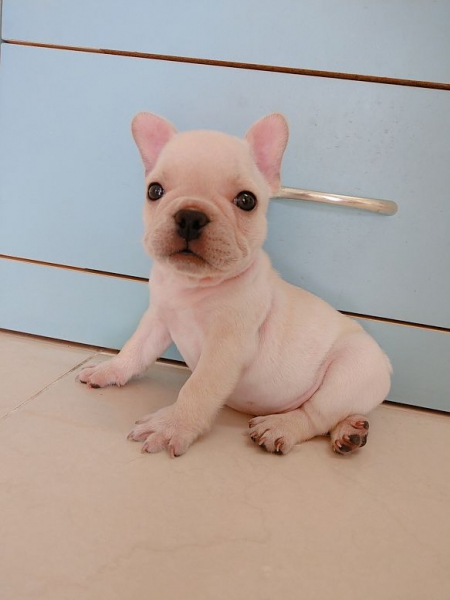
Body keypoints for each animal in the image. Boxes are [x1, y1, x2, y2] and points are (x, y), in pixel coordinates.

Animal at [78, 112, 392, 457]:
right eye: (154, 191)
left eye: (246, 200)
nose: (190, 216)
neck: (193, 285)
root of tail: (386, 364)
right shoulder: (158, 318)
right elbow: (136, 348)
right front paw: (111, 369)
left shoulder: (225, 348)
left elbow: (197, 387)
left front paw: (172, 425)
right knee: (339, 415)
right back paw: (351, 432)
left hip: (351, 371)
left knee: (317, 414)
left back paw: (283, 427)